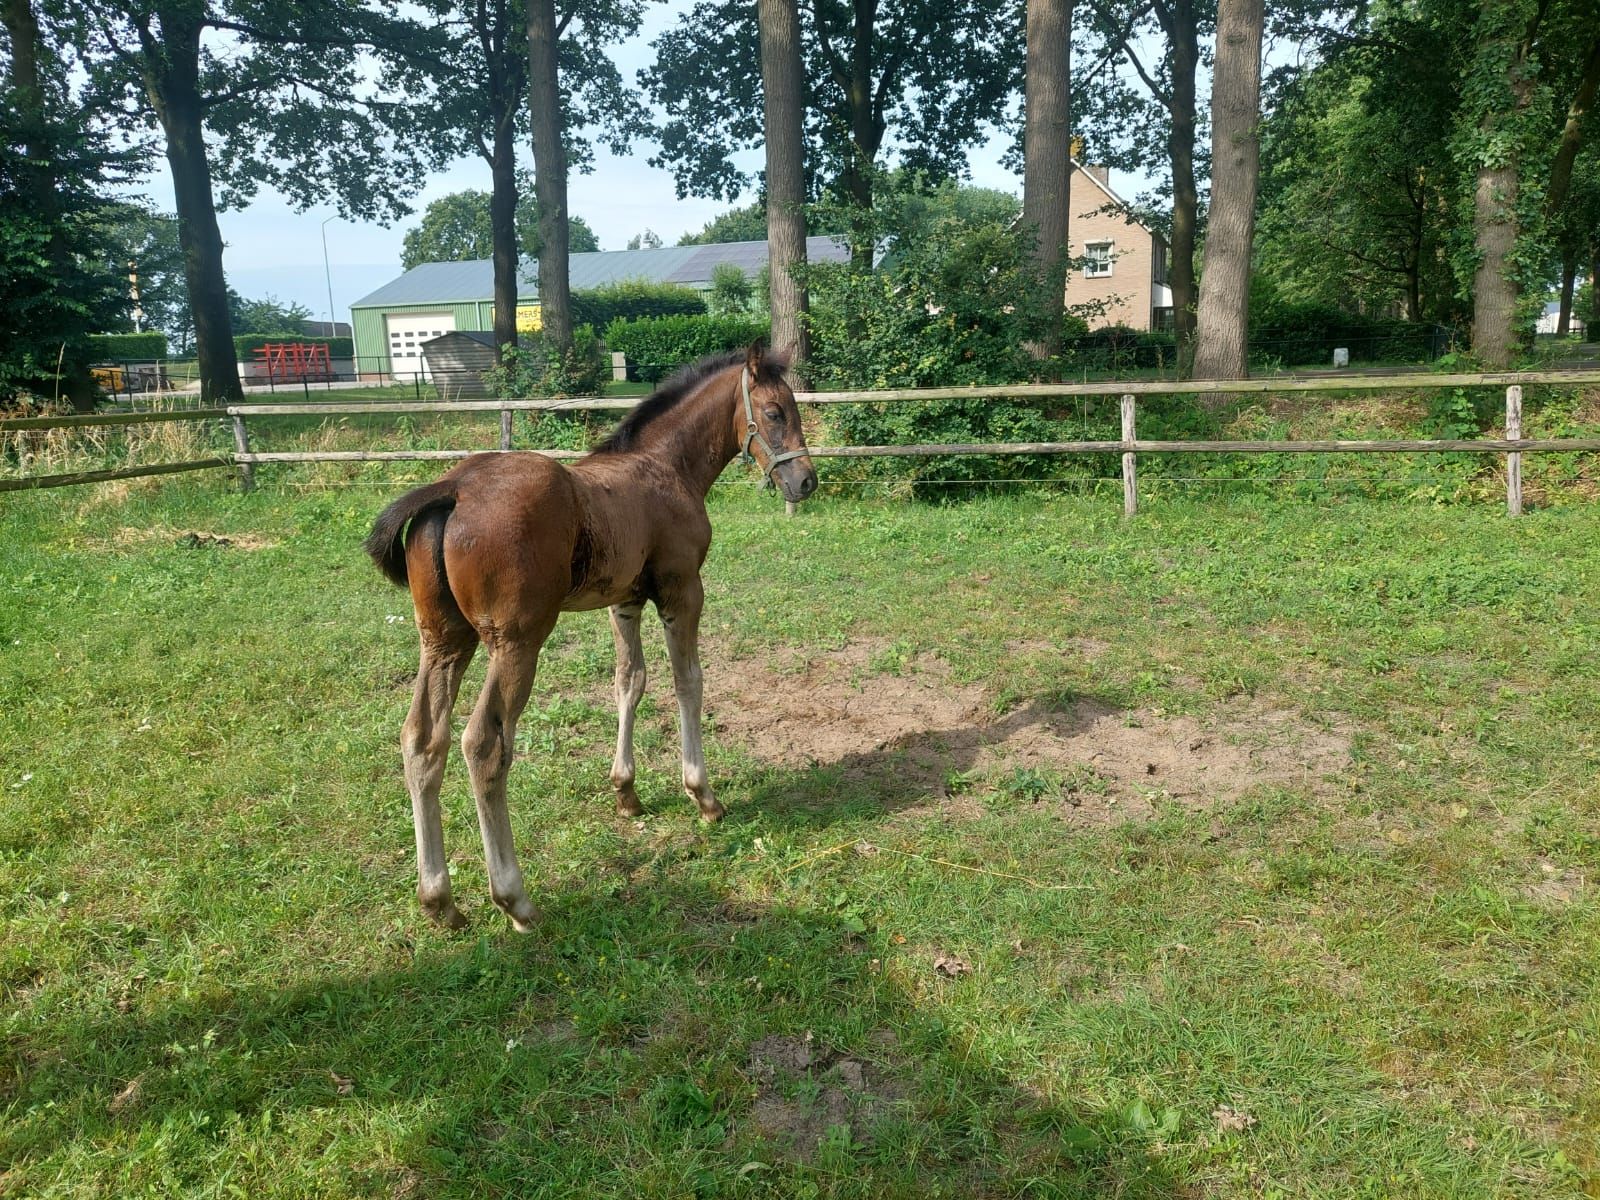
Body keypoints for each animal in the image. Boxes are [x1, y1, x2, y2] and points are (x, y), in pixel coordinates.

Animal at [364, 343, 817, 931]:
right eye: (776, 411)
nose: (805, 482)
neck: (665, 467)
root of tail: (453, 488)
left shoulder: (624, 601)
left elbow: (630, 682)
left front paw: (626, 791)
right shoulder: (682, 590)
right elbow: (687, 682)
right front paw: (703, 796)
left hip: (444, 641)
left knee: (422, 739)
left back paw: (440, 901)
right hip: (517, 642)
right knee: (483, 745)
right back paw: (515, 900)